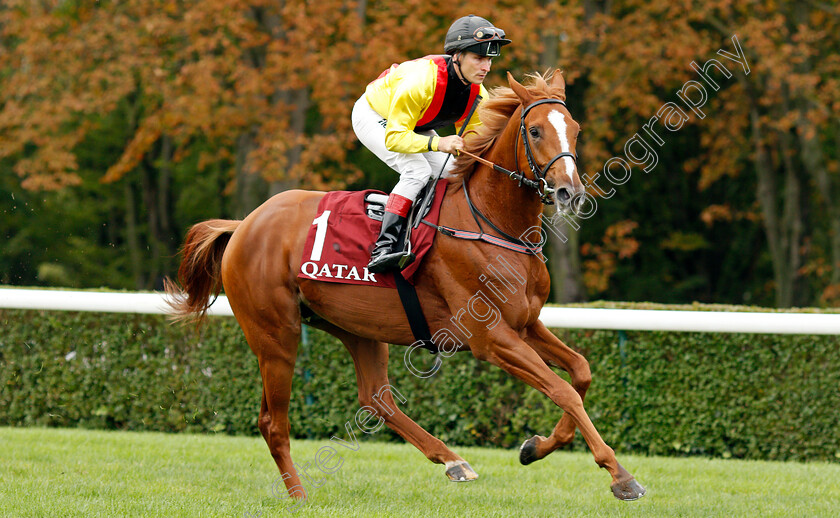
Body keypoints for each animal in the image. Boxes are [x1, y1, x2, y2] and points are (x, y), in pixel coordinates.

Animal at [166, 70, 648, 504]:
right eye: (534, 130)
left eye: (575, 130)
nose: (569, 192)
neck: (491, 222)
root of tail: (244, 224)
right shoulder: (490, 337)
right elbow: (562, 389)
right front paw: (620, 475)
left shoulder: (526, 324)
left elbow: (580, 372)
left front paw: (537, 447)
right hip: (275, 336)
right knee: (273, 422)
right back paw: (299, 495)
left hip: (356, 328)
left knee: (375, 400)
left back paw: (454, 461)